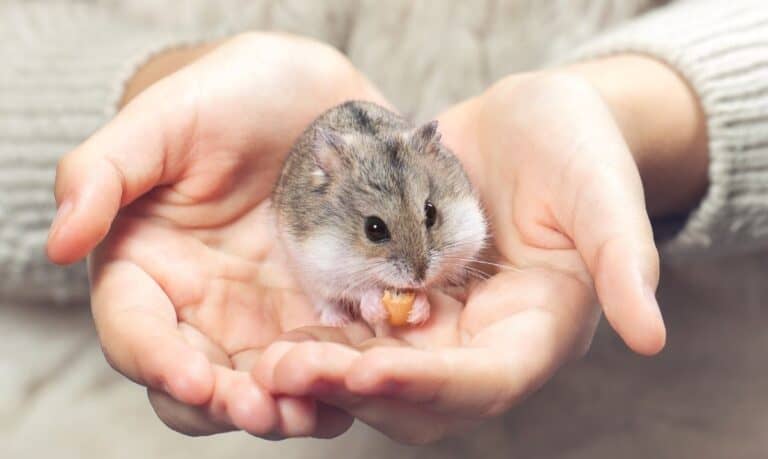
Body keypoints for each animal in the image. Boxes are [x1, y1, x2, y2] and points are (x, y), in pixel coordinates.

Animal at [273, 101, 487, 327]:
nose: (418, 278)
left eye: (431, 212)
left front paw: (419, 308)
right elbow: (359, 291)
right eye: (374, 228)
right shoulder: (321, 267)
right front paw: (373, 308)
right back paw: (338, 321)